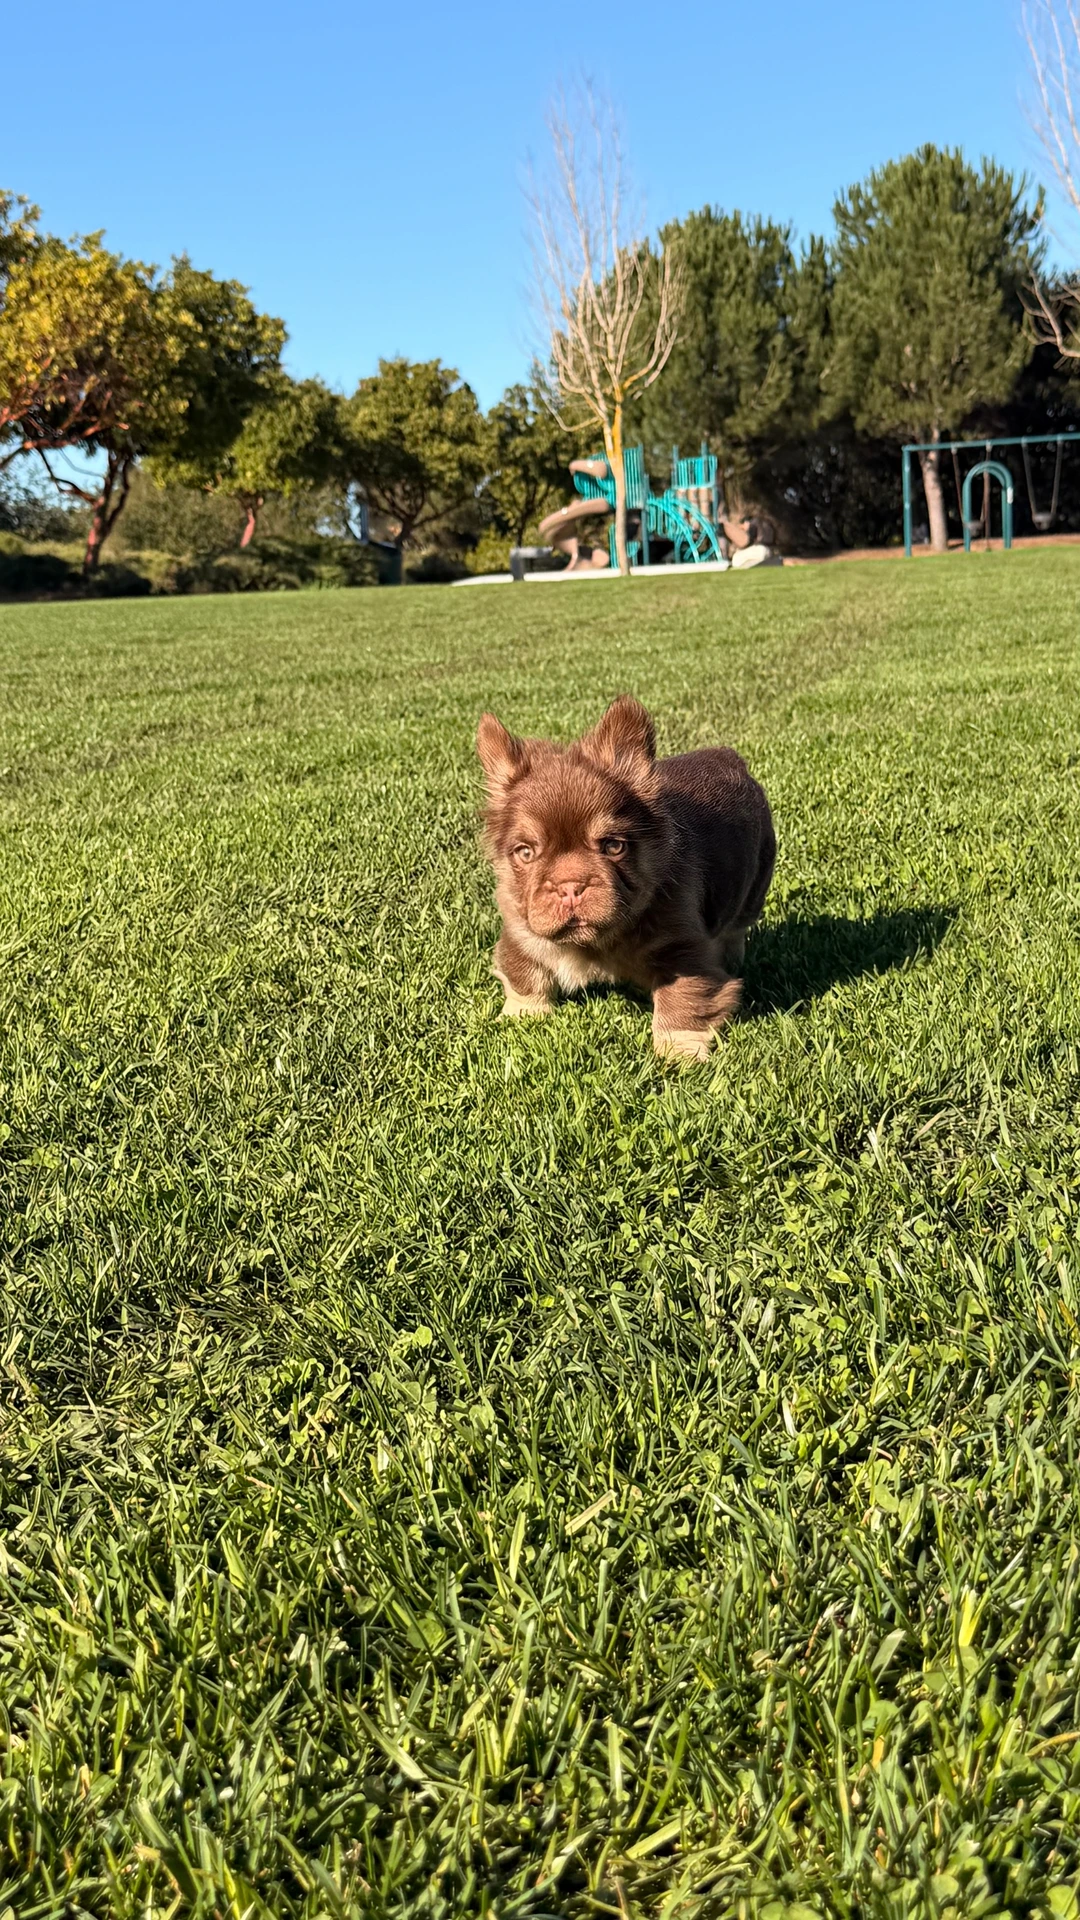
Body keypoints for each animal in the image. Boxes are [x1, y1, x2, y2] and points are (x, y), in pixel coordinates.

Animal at [476, 695, 775, 1061]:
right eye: (525, 853)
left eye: (613, 846)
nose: (570, 887)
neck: (595, 943)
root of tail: (728, 756)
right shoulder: (521, 930)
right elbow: (523, 973)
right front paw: (522, 1015)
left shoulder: (683, 952)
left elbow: (684, 1001)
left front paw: (678, 1051)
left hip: (752, 889)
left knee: (735, 930)